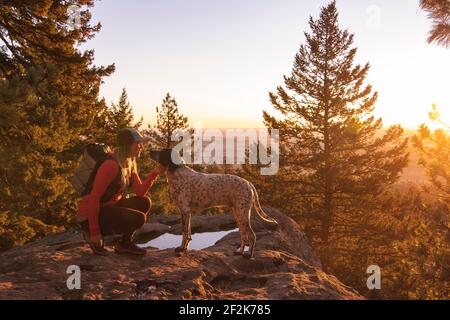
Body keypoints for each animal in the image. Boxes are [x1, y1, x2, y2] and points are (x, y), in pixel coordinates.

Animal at [150, 148, 278, 258]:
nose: (150, 150)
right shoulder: (188, 213)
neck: (177, 172)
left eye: (162, 151)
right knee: (243, 235)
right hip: (239, 214)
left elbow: (184, 233)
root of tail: (248, 183)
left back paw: (249, 255)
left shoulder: (184, 210)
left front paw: (181, 248)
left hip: (242, 214)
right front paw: (185, 248)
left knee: (251, 235)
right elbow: (189, 233)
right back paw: (240, 252)